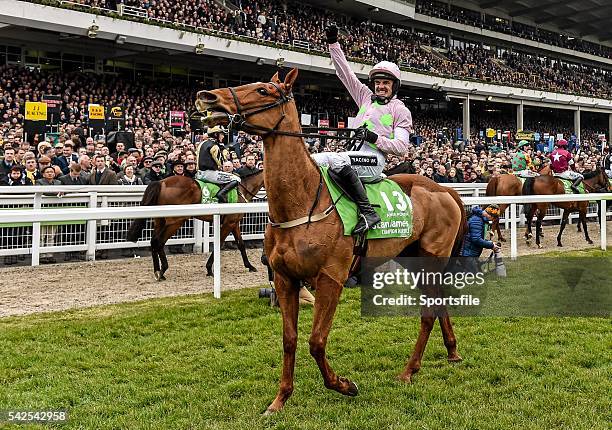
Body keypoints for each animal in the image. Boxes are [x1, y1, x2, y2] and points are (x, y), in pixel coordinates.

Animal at [126, 173, 262, 280]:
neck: (243, 190)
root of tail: (162, 182)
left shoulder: (234, 223)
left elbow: (241, 244)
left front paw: (250, 266)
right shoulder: (229, 223)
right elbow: (219, 243)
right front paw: (209, 269)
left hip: (160, 220)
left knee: (153, 241)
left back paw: (157, 271)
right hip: (175, 221)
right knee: (159, 241)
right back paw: (163, 270)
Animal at [196, 69, 468, 414]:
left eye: (263, 90)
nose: (207, 97)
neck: (303, 202)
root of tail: (445, 190)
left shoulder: (330, 279)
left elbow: (316, 341)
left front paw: (344, 385)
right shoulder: (285, 279)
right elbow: (289, 339)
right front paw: (280, 399)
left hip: (432, 259)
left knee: (428, 313)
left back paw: (409, 370)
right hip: (413, 259)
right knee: (438, 303)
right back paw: (452, 351)